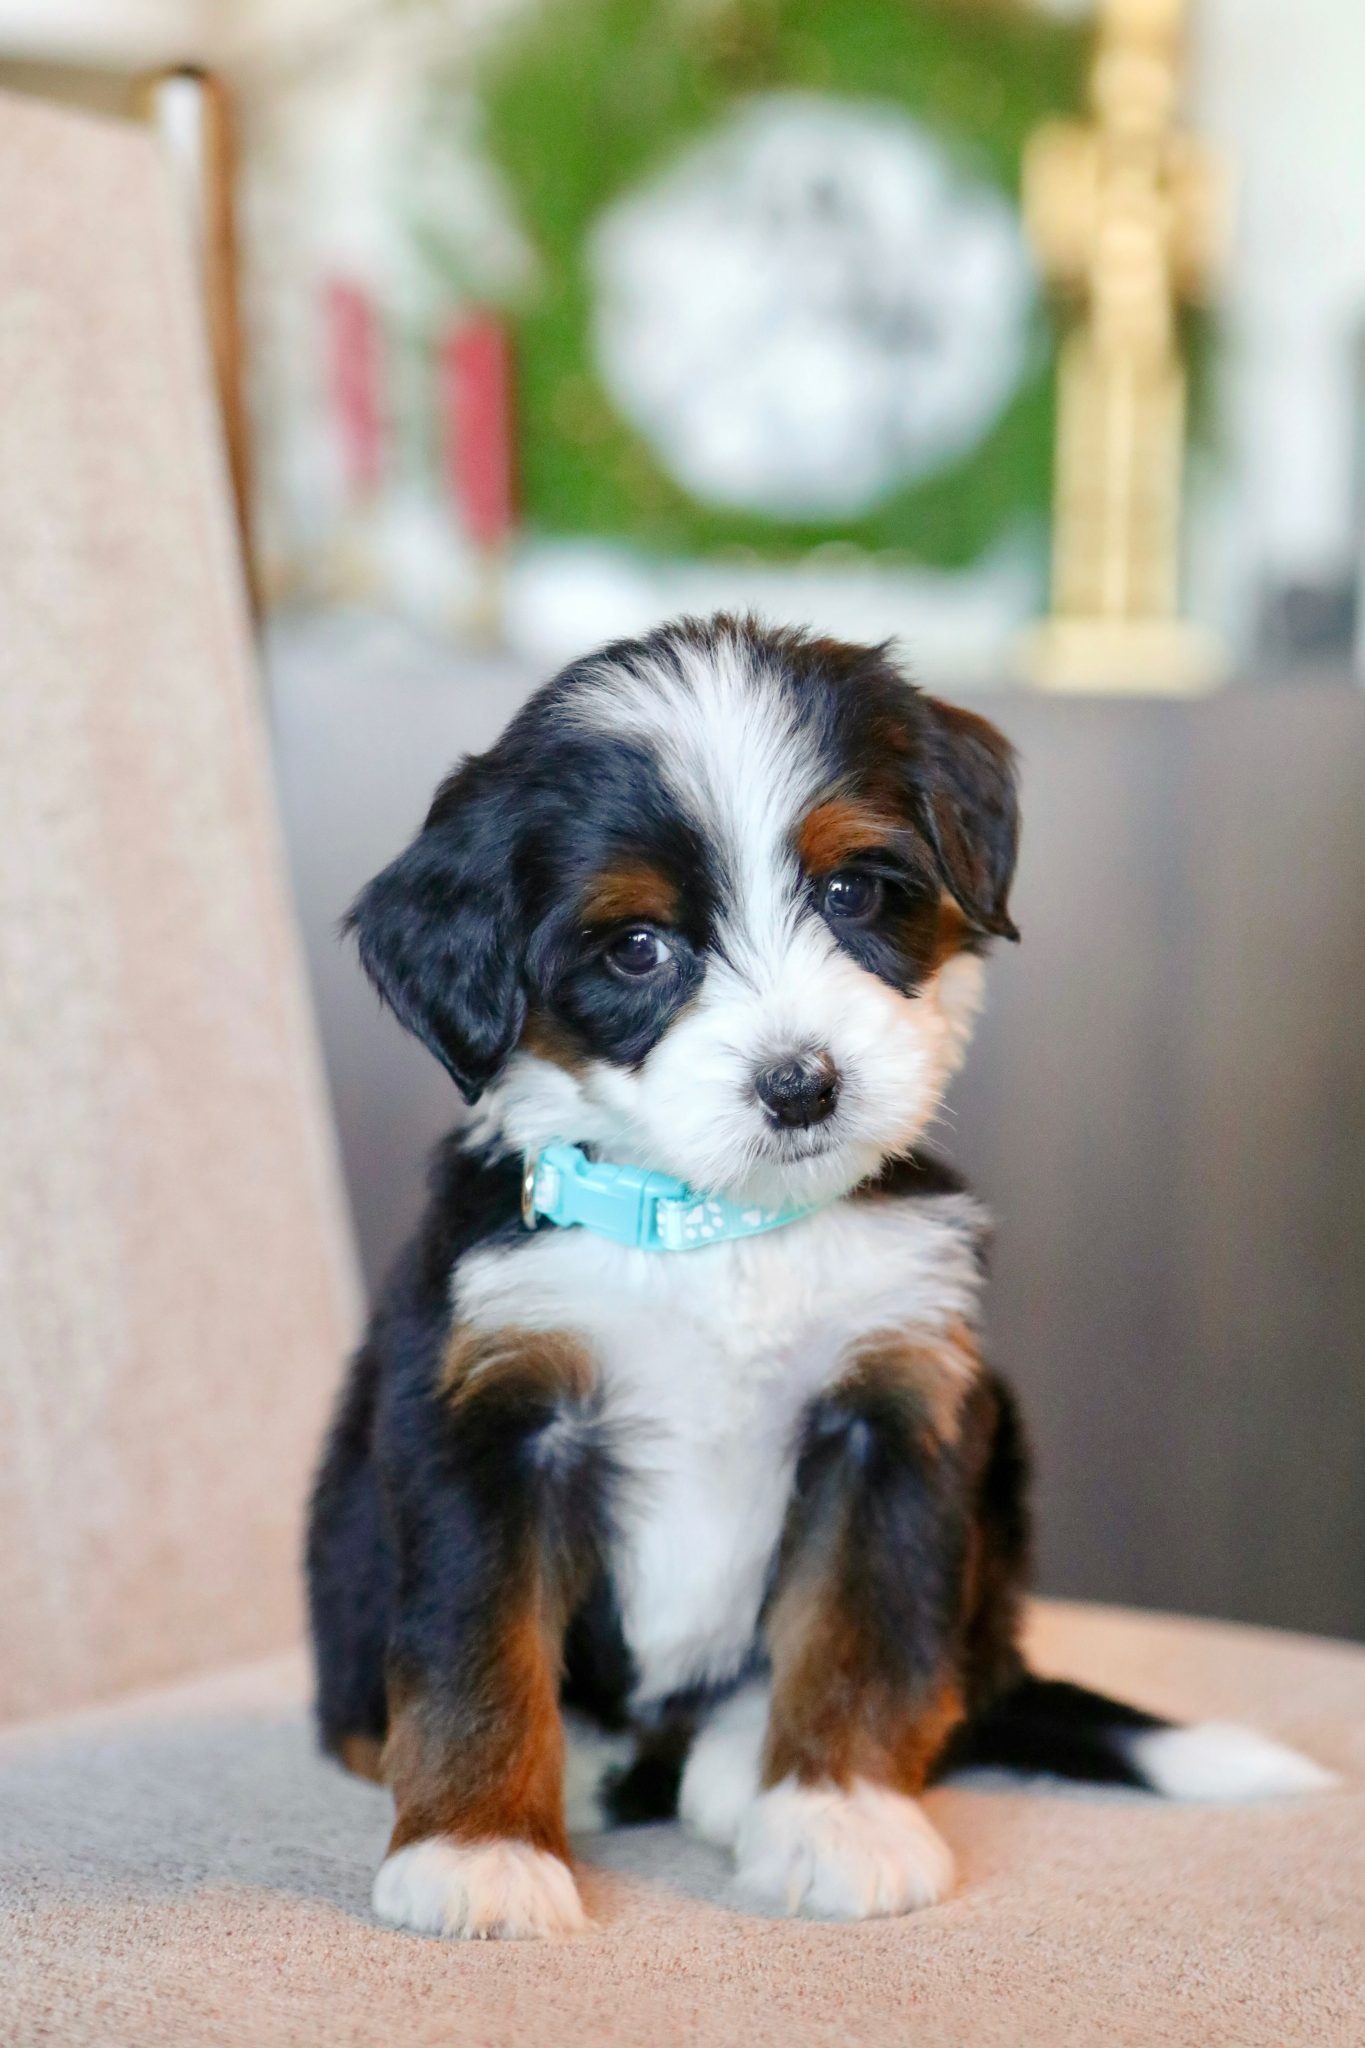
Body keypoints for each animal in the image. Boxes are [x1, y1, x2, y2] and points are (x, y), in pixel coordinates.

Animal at [308, 614, 1327, 1940]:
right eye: (637, 947)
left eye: (851, 890)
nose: (800, 1084)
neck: (722, 1225)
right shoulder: (484, 1411)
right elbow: (472, 1640)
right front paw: (479, 1850)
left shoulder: (892, 1409)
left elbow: (864, 1625)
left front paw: (837, 1813)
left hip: (1001, 1454)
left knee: (954, 1681)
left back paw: (739, 1759)